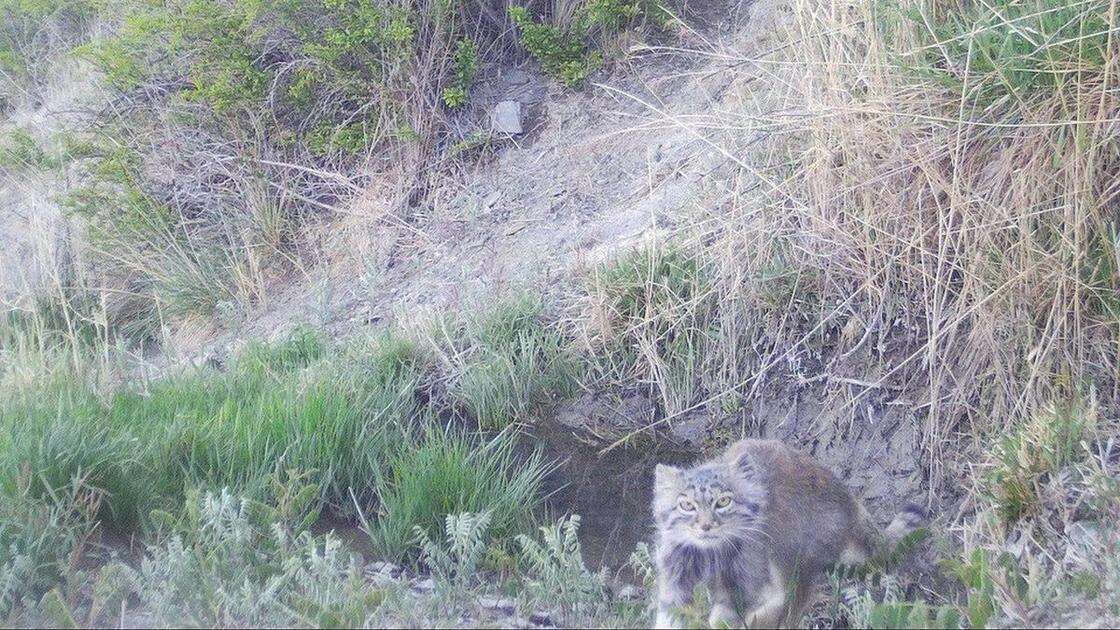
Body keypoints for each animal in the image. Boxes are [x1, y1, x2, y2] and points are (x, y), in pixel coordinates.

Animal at [654, 439, 922, 623]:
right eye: (687, 505)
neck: (710, 554)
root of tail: (848, 499)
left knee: (789, 606)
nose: (706, 526)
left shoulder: (743, 588)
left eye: (723, 502)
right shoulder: (676, 584)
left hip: (795, 561)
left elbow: (726, 617)